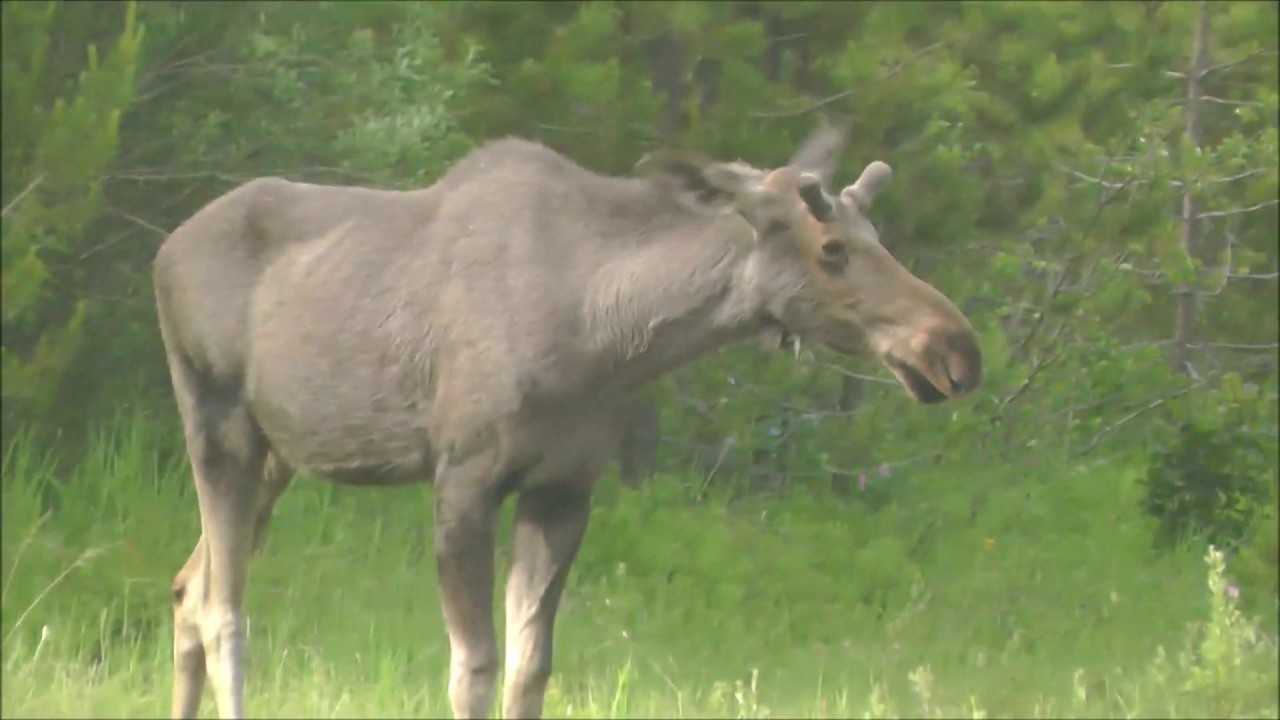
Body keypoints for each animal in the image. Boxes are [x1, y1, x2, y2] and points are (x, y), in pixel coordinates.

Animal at [153, 124, 982, 719]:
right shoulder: (463, 477)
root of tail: (163, 249)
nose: (956, 350)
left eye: (878, 240)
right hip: (217, 427)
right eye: (831, 248)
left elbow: (531, 669)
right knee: (226, 610)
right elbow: (474, 668)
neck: (605, 335)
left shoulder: (564, 488)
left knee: (189, 587)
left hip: (277, 456)